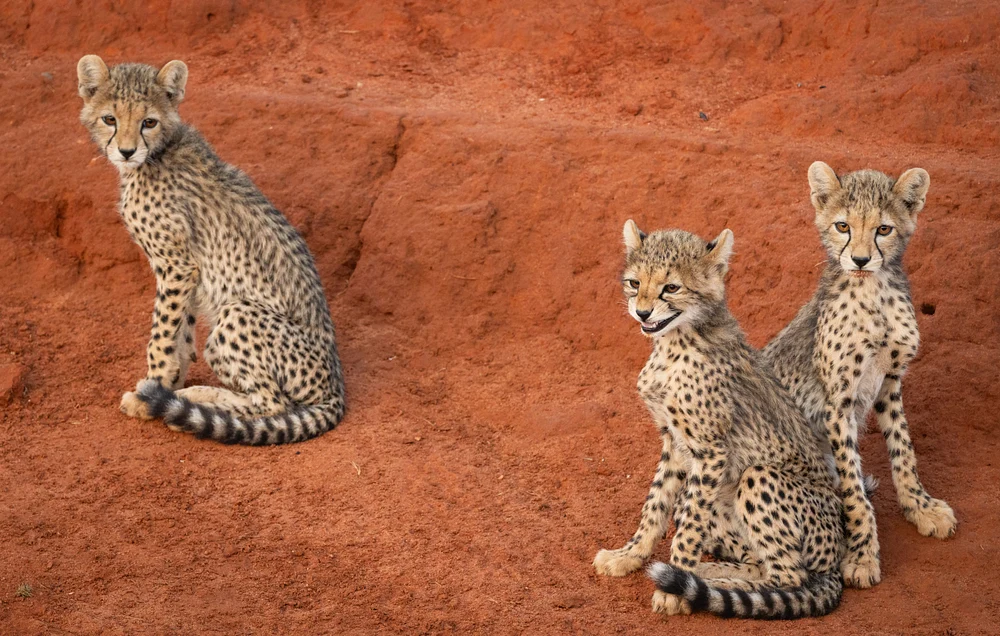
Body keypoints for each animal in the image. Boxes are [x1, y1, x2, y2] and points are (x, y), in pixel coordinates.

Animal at [77, 55, 346, 444]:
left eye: (148, 122)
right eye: (109, 118)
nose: (126, 151)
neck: (157, 154)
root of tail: (336, 388)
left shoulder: (176, 265)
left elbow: (160, 336)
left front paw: (150, 396)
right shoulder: (186, 271)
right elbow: (180, 332)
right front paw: (169, 386)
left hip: (237, 313)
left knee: (274, 403)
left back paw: (199, 404)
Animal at [593, 221, 844, 619]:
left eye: (671, 287)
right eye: (634, 283)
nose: (643, 313)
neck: (675, 343)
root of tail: (836, 561)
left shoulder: (711, 451)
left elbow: (690, 528)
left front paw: (673, 591)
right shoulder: (675, 444)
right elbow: (654, 506)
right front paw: (628, 557)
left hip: (758, 476)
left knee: (789, 577)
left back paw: (710, 584)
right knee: (761, 564)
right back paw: (705, 572)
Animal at [762, 162, 956, 588]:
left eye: (883, 228)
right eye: (843, 226)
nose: (862, 260)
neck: (874, 293)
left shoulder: (889, 383)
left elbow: (904, 452)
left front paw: (920, 508)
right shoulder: (838, 402)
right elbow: (853, 487)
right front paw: (863, 555)